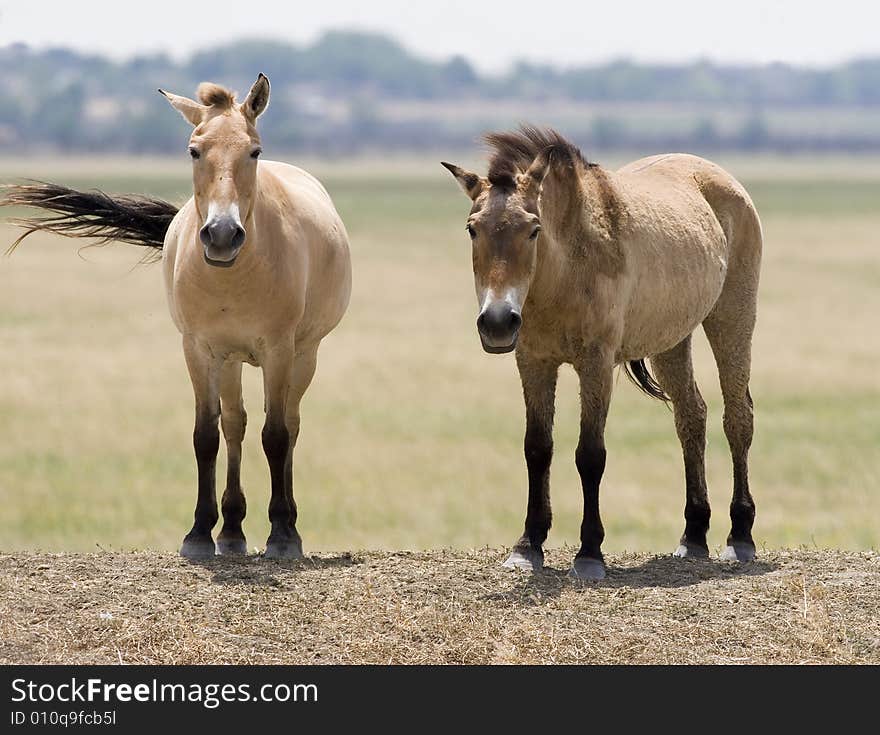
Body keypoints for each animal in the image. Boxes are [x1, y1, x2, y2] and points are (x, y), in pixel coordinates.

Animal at [4, 76, 354, 556]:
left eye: (254, 151)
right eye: (194, 150)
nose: (222, 235)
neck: (235, 275)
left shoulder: (279, 350)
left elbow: (277, 435)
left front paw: (283, 535)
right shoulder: (199, 349)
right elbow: (206, 435)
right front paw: (200, 533)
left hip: (305, 355)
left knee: (290, 424)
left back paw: (285, 523)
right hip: (230, 360)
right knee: (235, 424)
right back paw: (232, 530)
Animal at [444, 129, 760, 584]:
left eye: (533, 229)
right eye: (472, 229)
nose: (498, 322)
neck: (567, 268)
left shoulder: (596, 365)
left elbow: (590, 455)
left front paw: (590, 552)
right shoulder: (534, 363)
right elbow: (537, 448)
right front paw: (528, 545)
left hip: (732, 317)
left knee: (737, 418)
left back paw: (740, 536)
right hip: (670, 339)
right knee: (691, 416)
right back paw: (693, 535)